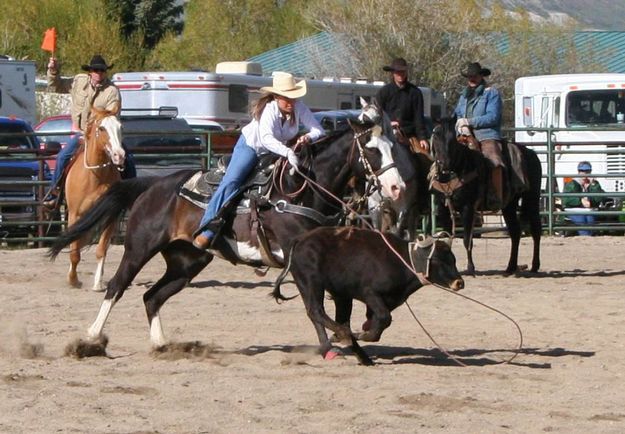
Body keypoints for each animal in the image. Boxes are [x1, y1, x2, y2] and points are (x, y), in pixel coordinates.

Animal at [65, 109, 125, 292]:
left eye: (120, 127)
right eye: (102, 128)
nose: (119, 155)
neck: (94, 178)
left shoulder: (110, 215)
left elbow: (101, 250)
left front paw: (98, 283)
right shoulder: (74, 215)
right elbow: (74, 251)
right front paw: (73, 279)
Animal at [428, 118, 540, 274]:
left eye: (452, 139)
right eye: (436, 136)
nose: (445, 164)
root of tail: (531, 153)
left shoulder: (468, 208)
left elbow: (467, 240)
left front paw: (470, 268)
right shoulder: (443, 209)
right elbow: (446, 238)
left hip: (532, 199)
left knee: (536, 230)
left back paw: (535, 266)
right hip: (509, 205)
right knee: (515, 232)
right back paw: (510, 267)